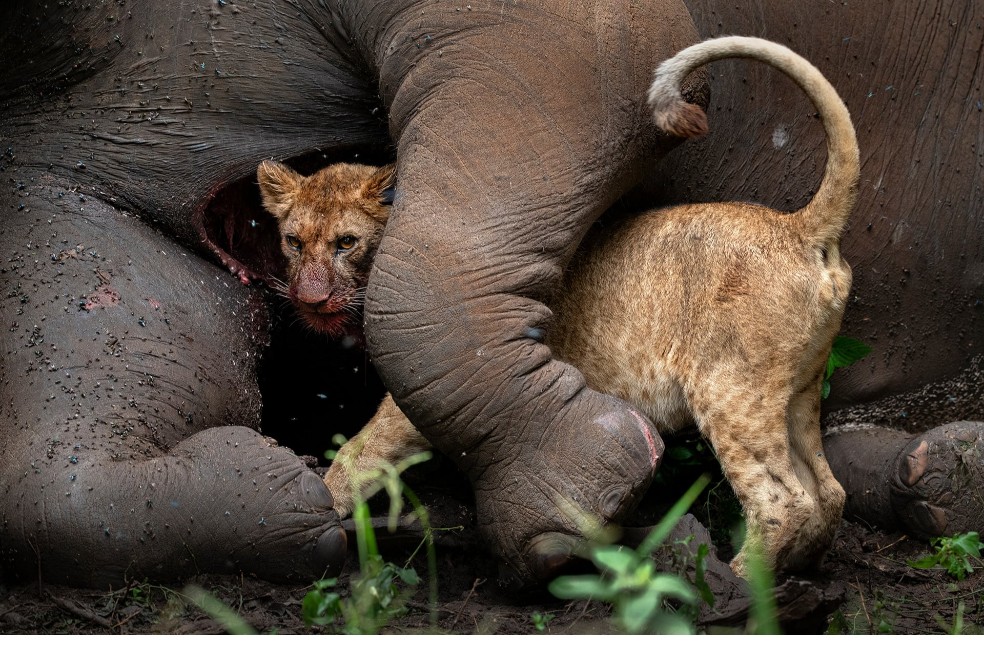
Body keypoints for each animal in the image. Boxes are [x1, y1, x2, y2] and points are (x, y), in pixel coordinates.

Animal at [0, 0, 981, 593]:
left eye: (348, 246)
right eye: (291, 242)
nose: (310, 294)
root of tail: (800, 224)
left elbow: (369, 441)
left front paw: (324, 501)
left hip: (731, 391)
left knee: (784, 497)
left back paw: (734, 584)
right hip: (794, 393)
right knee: (825, 492)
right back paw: (783, 579)